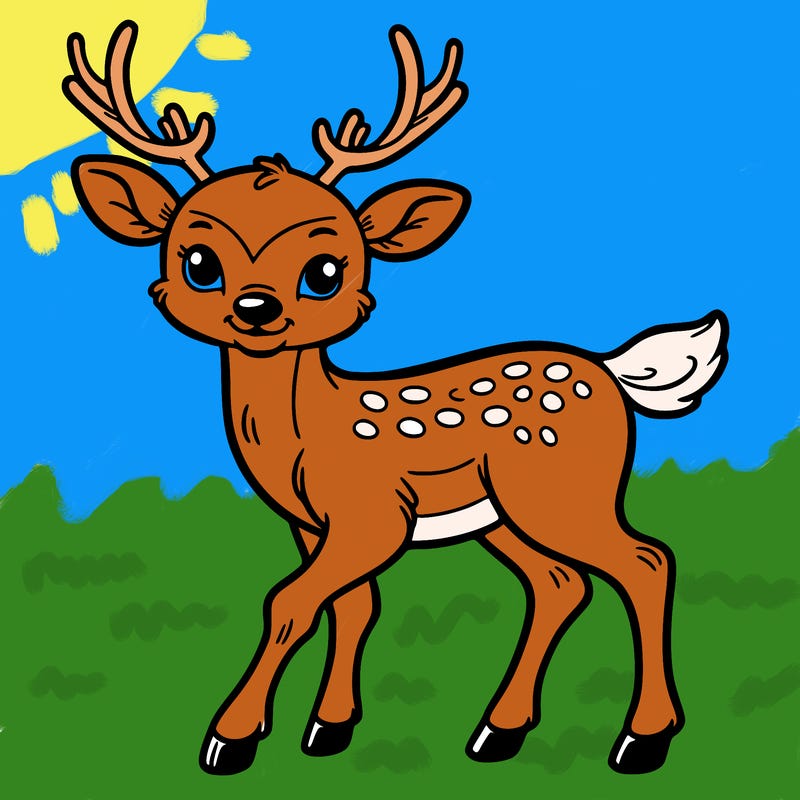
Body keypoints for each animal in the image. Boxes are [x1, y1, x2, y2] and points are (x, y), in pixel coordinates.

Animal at [63, 20, 728, 776]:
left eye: (325, 270)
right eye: (199, 262)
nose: (257, 309)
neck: (307, 436)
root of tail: (612, 372)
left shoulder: (371, 513)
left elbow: (289, 601)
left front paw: (230, 739)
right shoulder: (313, 524)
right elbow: (353, 605)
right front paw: (327, 729)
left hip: (562, 490)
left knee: (646, 562)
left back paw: (641, 740)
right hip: (503, 514)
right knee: (561, 583)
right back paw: (498, 732)